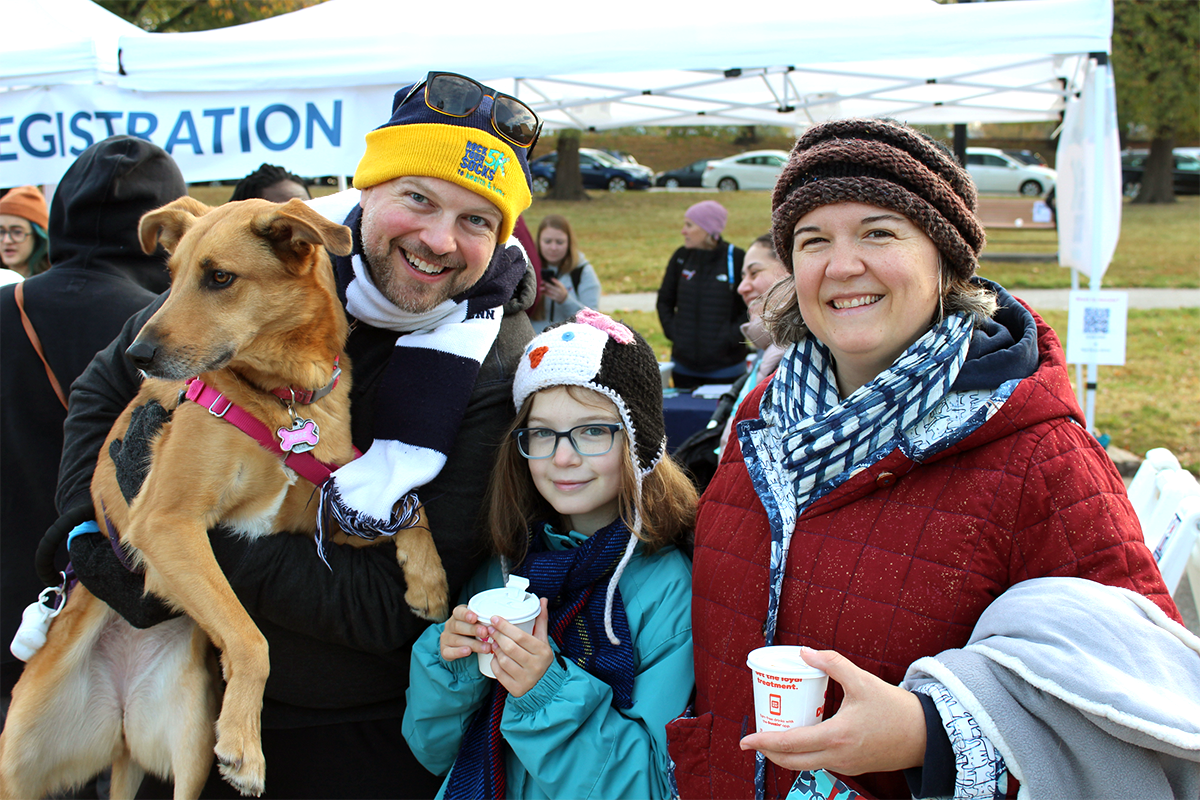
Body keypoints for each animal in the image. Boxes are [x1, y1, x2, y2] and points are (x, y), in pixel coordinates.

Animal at [0, 197, 449, 799]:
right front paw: (244, 745)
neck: (281, 399)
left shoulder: (318, 522)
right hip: (19, 761)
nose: (137, 354)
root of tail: (118, 722)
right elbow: (249, 638)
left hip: (187, 748)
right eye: (170, 277)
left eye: (219, 277)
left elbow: (412, 510)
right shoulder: (165, 523)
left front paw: (431, 583)